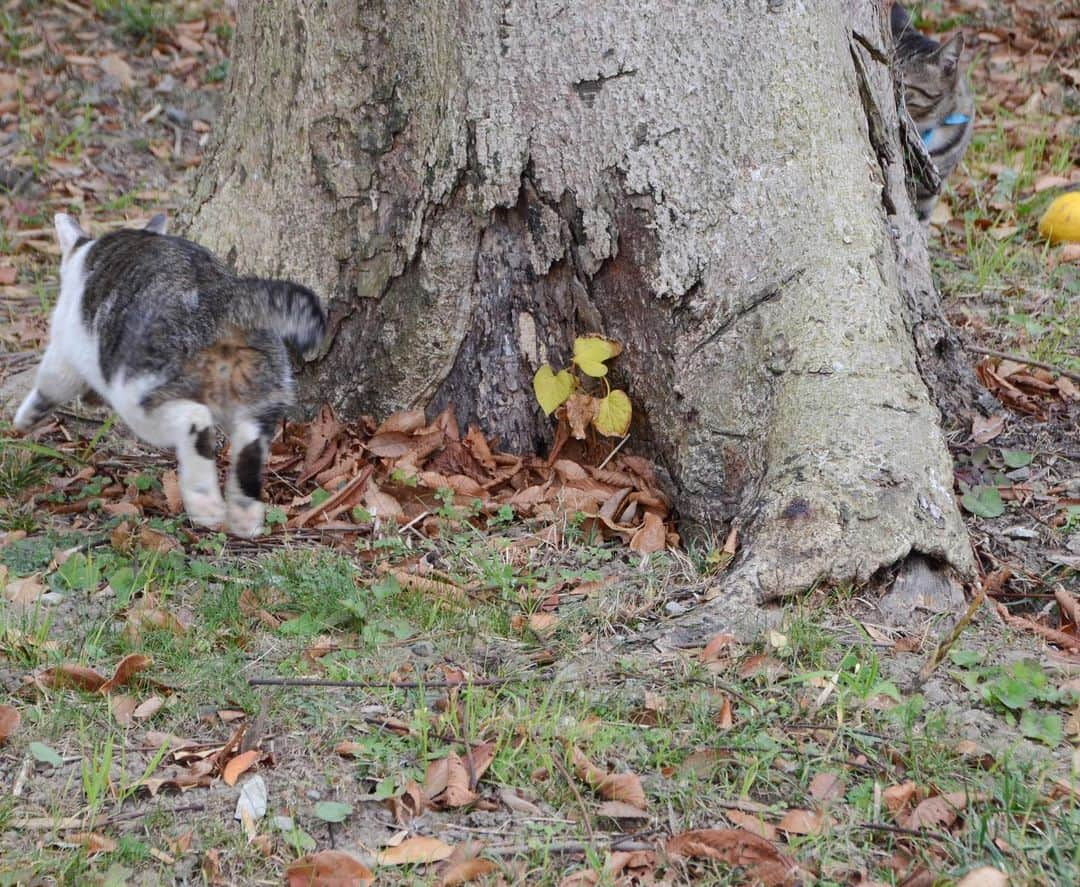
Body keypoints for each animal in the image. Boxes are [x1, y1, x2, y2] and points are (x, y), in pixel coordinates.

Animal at [13, 212, 324, 540]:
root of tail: (220, 299)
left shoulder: (65, 346)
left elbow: (50, 384)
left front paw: (24, 420)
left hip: (139, 394)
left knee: (195, 420)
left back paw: (205, 503)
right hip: (262, 383)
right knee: (251, 440)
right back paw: (244, 513)